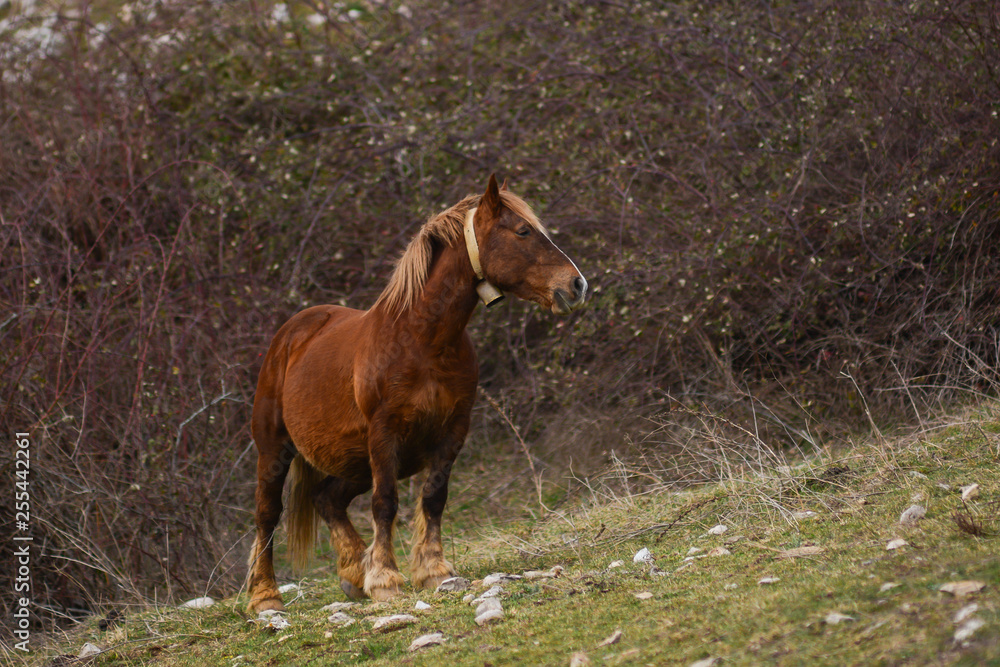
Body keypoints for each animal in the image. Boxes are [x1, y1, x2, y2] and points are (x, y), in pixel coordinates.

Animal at [245, 174, 587, 612]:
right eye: (523, 231)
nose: (576, 285)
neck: (422, 341)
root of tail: (291, 333)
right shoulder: (384, 434)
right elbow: (386, 503)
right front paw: (386, 580)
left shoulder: (452, 432)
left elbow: (434, 498)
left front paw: (433, 571)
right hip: (277, 450)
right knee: (268, 514)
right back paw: (266, 596)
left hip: (356, 462)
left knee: (328, 499)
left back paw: (353, 573)